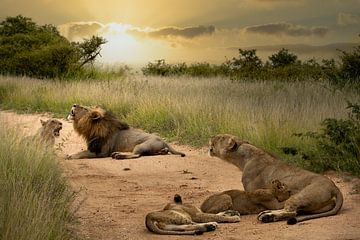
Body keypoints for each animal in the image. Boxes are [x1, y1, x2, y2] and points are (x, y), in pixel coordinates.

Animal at [210, 134, 344, 224]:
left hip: (302, 195)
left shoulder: (253, 193)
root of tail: (335, 187)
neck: (244, 158)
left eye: (221, 138)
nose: (212, 136)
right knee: (294, 211)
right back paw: (267, 215)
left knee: (291, 211)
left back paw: (267, 216)